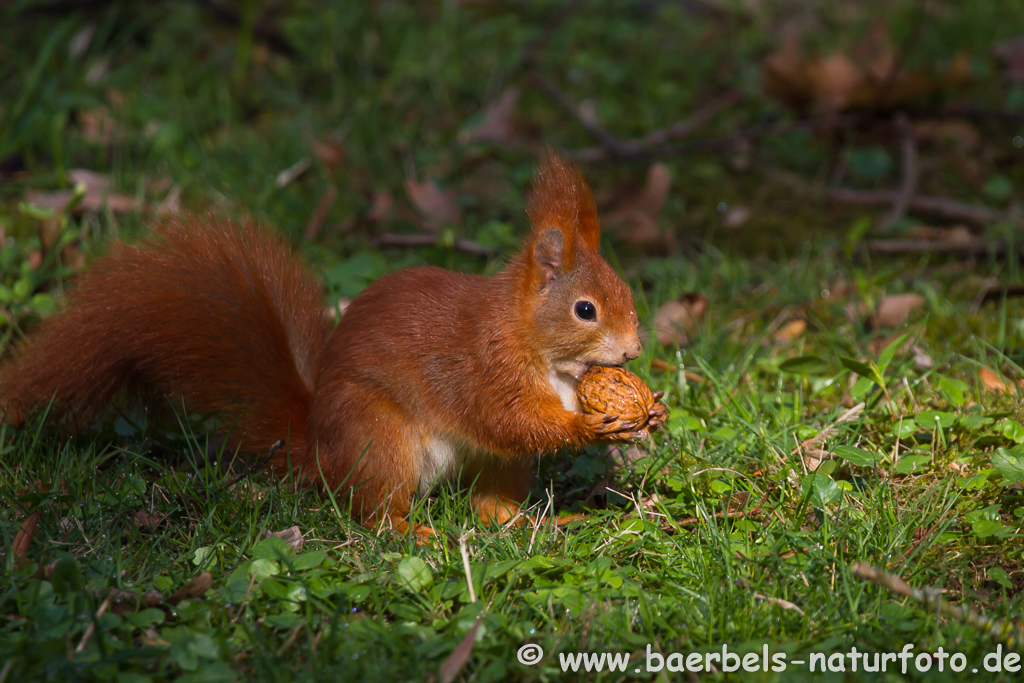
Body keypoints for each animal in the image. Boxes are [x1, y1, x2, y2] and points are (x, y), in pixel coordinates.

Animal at [0, 154, 663, 532]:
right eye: (585, 310)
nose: (632, 353)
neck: (547, 357)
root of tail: (319, 450)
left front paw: (649, 410)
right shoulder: (482, 368)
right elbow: (509, 420)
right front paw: (585, 426)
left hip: (490, 467)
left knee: (490, 503)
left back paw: (538, 523)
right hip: (379, 438)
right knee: (373, 514)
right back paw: (411, 531)